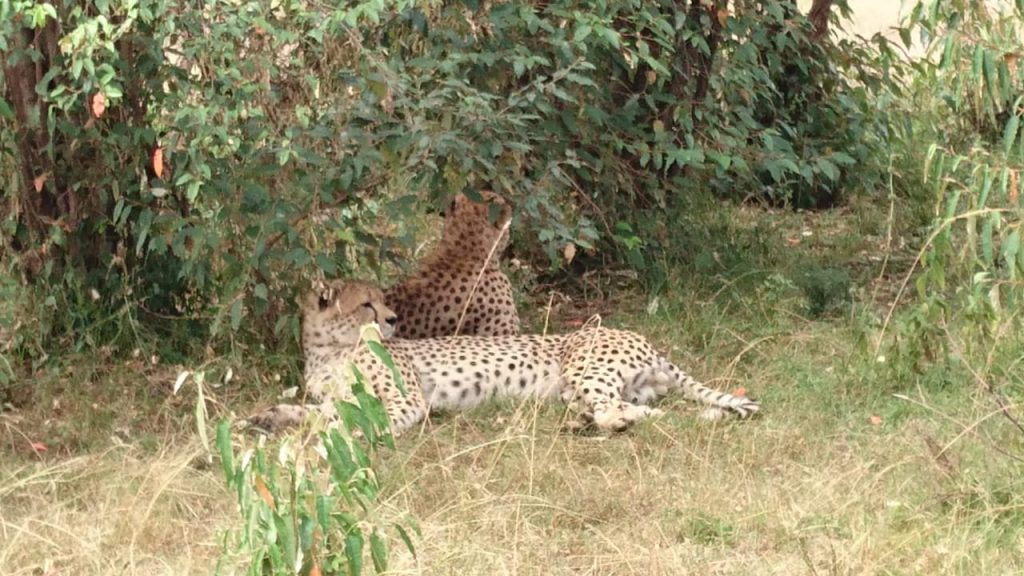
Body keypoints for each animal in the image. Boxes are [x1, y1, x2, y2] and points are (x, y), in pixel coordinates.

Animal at [250, 278, 757, 434]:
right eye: (366, 304)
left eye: (382, 300)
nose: (393, 319)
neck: (327, 351)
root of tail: (650, 342)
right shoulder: (336, 393)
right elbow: (317, 409)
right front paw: (269, 417)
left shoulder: (406, 400)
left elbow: (353, 419)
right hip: (578, 388)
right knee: (640, 410)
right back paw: (588, 423)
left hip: (583, 365)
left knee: (625, 410)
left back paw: (603, 424)